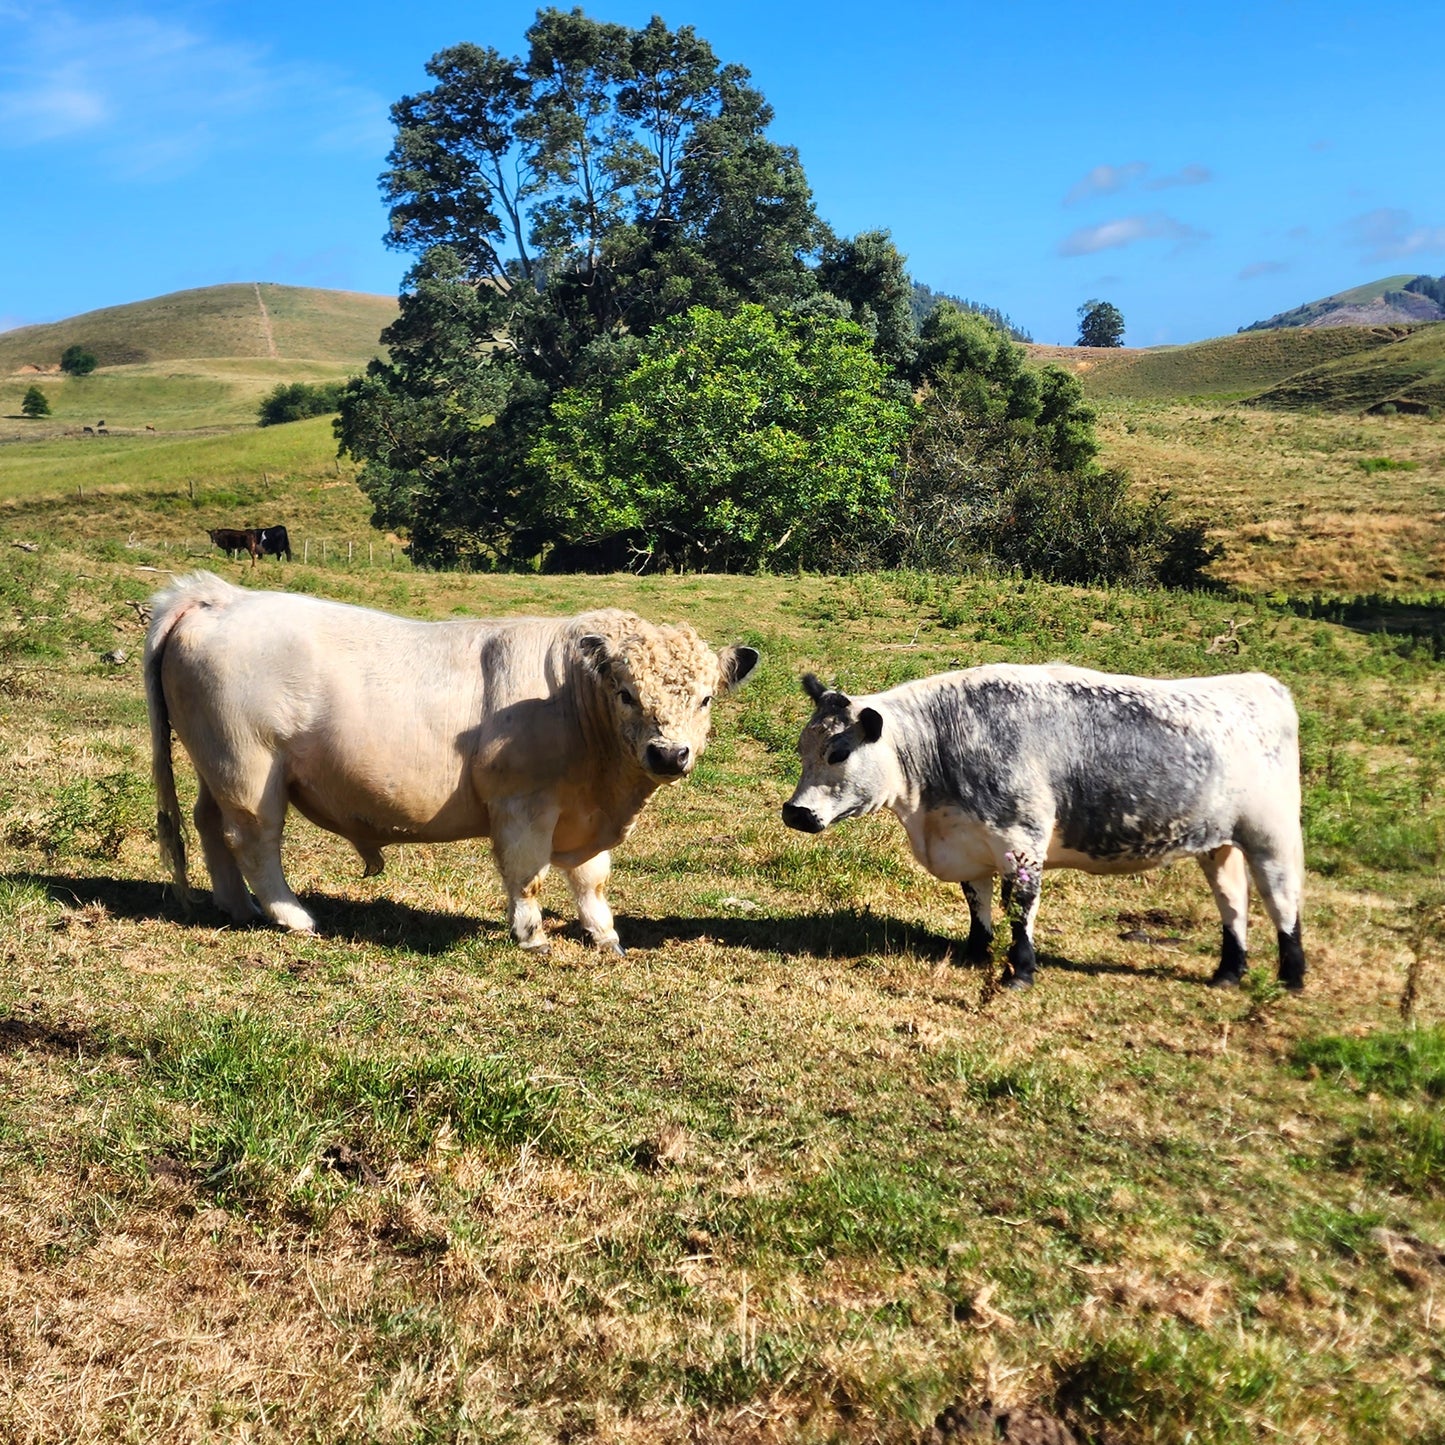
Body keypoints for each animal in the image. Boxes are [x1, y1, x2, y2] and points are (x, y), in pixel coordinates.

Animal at [142, 569, 762, 953]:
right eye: (627, 693)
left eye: (706, 698)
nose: (669, 753)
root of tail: (217, 595)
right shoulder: (522, 803)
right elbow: (528, 873)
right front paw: (532, 935)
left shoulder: (585, 819)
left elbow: (592, 879)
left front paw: (605, 935)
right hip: (248, 769)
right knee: (254, 840)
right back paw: (293, 916)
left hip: (214, 766)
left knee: (209, 825)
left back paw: (236, 907)